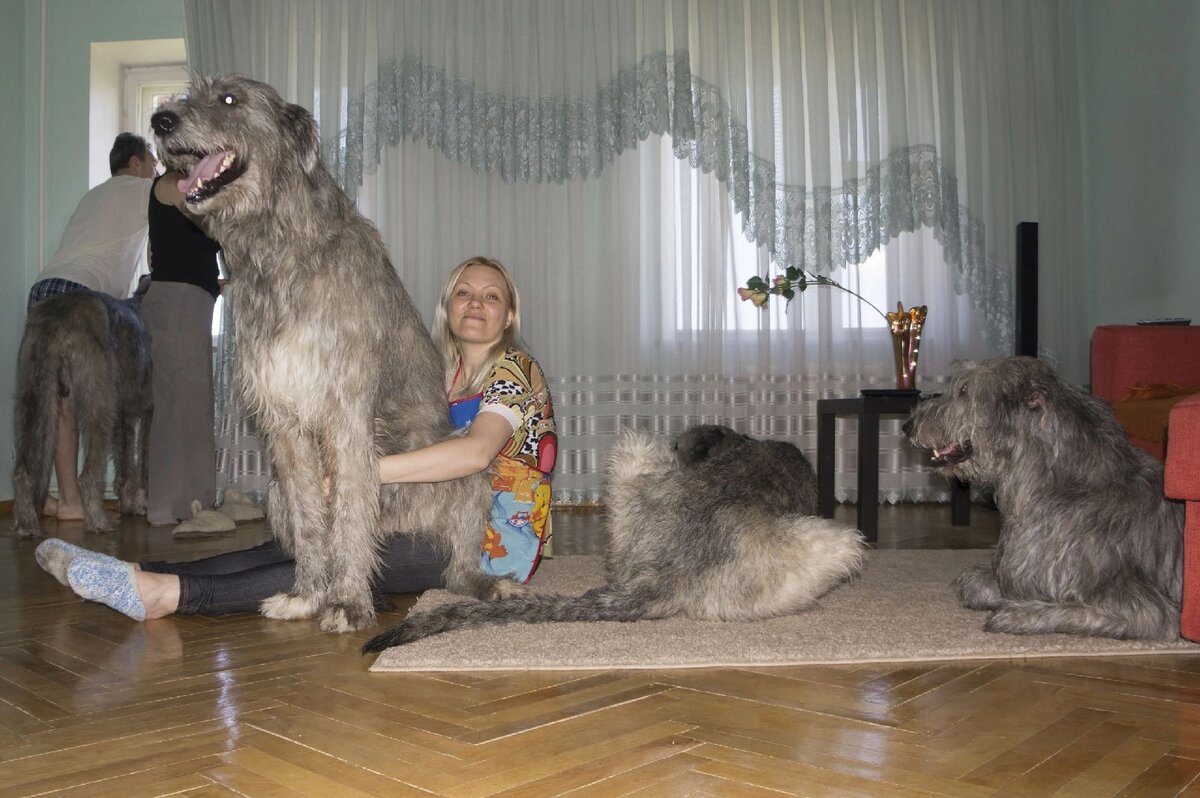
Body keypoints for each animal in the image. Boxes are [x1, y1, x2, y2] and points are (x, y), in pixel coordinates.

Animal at [11, 286, 152, 535]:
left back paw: (25, 522)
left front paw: (128, 502)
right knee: (87, 476)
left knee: (23, 468)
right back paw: (98, 521)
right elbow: (142, 462)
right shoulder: (146, 408)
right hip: (97, 397)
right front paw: (141, 504)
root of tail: (54, 317)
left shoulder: (124, 414)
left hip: (33, 395)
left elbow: (124, 460)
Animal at [151, 78, 506, 633]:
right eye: (193, 94)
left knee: (455, 566)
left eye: (230, 99)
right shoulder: (283, 420)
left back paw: (481, 583)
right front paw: (308, 595)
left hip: (465, 472)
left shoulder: (347, 410)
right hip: (274, 490)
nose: (160, 121)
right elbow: (310, 515)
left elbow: (352, 507)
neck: (279, 250)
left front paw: (348, 602)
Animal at [902, 355, 1185, 643]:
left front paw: (1019, 614)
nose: (907, 426)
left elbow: (1078, 611)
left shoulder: (1144, 605)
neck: (1067, 484)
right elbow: (976, 583)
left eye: (963, 391)